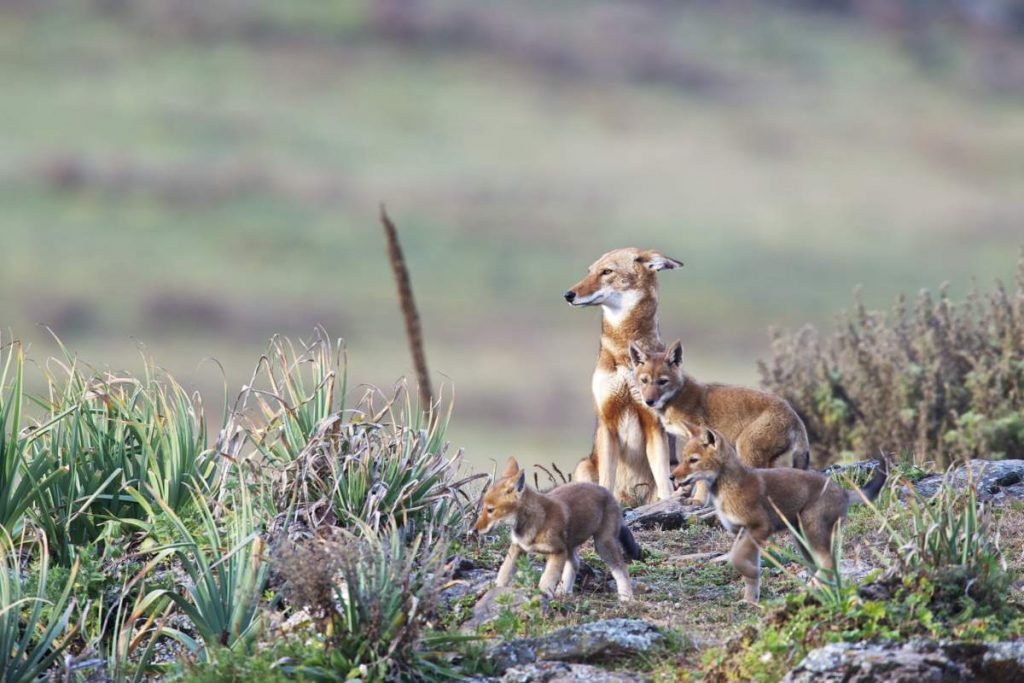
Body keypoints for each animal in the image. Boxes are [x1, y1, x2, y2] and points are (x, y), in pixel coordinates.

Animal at [565, 248, 684, 505]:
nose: (568, 294)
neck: (623, 354)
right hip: (583, 466)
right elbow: (606, 482)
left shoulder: (653, 425)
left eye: (607, 271)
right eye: (590, 271)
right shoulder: (608, 422)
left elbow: (663, 482)